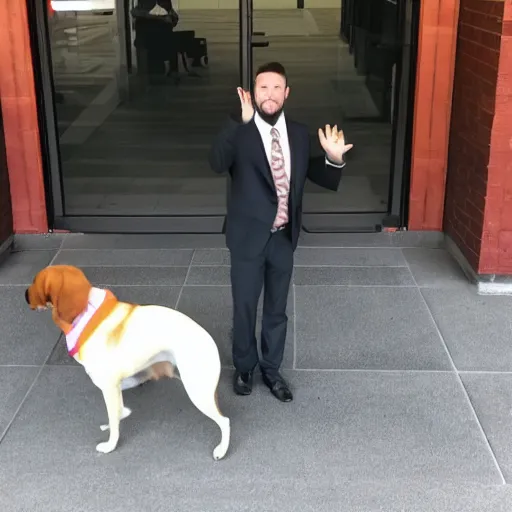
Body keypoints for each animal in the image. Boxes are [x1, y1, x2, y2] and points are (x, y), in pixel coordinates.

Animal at [25, 264, 230, 460]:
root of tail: (210, 342)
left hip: (198, 393)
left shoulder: (109, 385)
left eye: (35, 281)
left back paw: (222, 450)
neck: (88, 312)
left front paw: (110, 445)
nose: (25, 295)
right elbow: (118, 411)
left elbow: (115, 420)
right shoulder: (120, 382)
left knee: (225, 421)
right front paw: (118, 418)